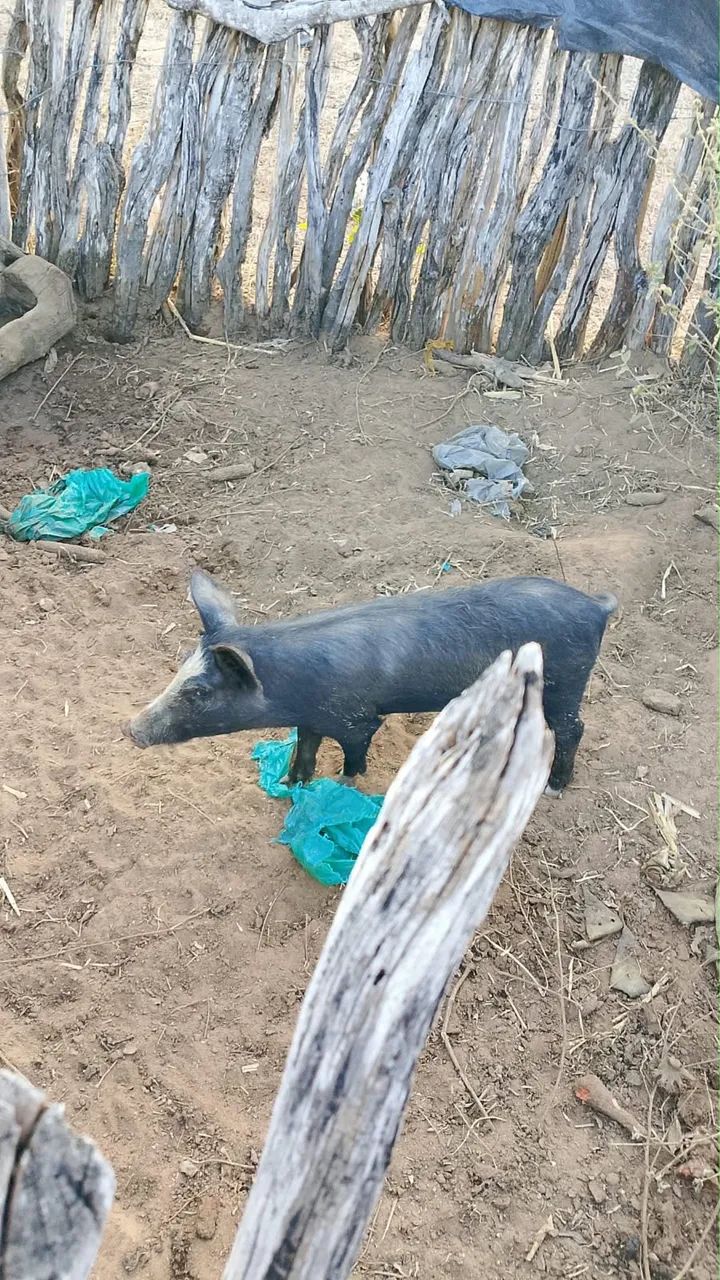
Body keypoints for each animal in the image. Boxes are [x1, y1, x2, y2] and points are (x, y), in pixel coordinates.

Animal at [124, 570, 618, 795]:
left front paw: (346, 783)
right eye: (179, 667)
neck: (293, 685)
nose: (129, 729)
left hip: (567, 679)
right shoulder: (313, 718)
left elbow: (354, 753)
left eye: (199, 692)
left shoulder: (357, 718)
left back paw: (554, 787)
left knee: (573, 728)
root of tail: (596, 605)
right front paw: (290, 785)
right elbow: (305, 747)